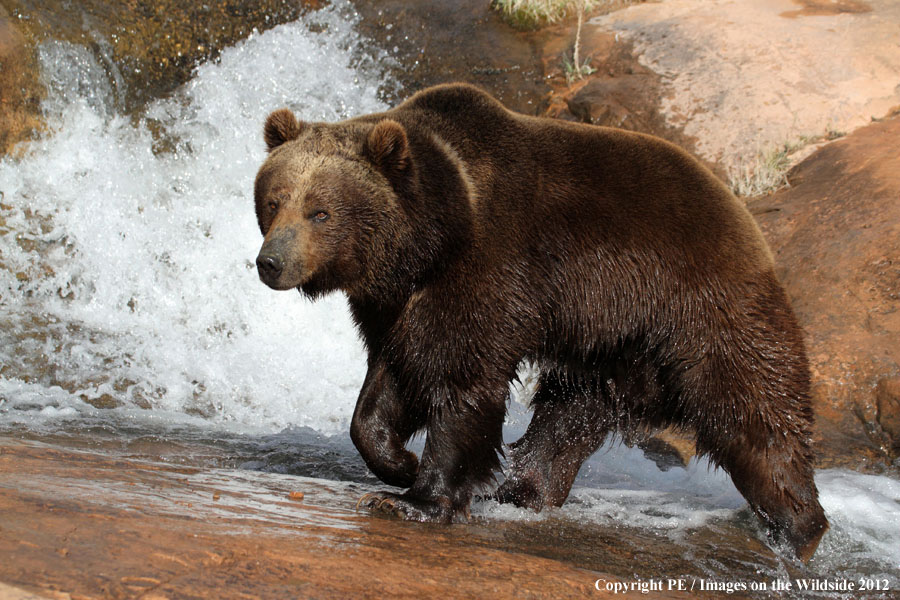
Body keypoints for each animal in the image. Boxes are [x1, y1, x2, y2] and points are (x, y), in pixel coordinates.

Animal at [253, 82, 828, 560]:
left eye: (321, 211)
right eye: (274, 201)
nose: (270, 262)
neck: (432, 242)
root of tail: (742, 211)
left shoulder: (492, 269)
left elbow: (462, 383)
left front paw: (418, 497)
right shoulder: (394, 305)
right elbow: (390, 383)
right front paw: (397, 462)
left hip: (699, 308)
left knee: (752, 410)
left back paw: (796, 528)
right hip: (611, 345)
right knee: (569, 414)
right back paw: (524, 490)